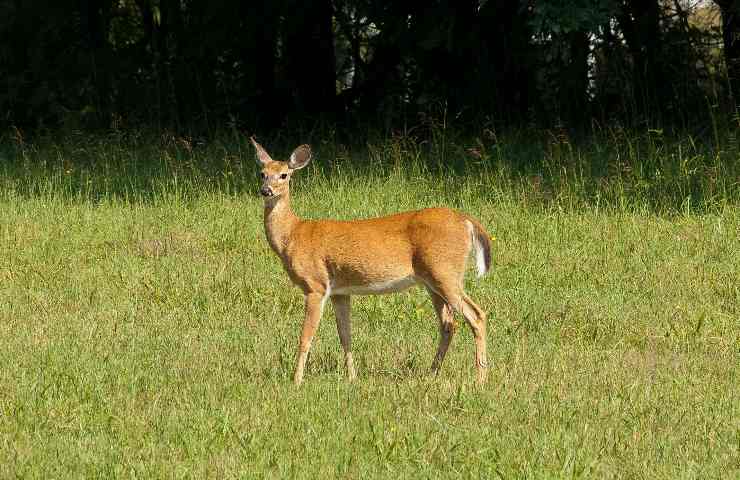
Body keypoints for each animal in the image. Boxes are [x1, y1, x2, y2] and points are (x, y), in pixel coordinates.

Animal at [251, 137, 494, 384]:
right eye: (262, 173)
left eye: (284, 175)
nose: (265, 190)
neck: (293, 235)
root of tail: (467, 221)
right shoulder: (340, 291)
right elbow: (345, 336)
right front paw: (352, 378)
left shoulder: (315, 285)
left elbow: (305, 337)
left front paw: (296, 381)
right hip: (432, 281)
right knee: (448, 323)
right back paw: (432, 372)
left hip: (445, 272)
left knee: (476, 315)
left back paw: (480, 378)